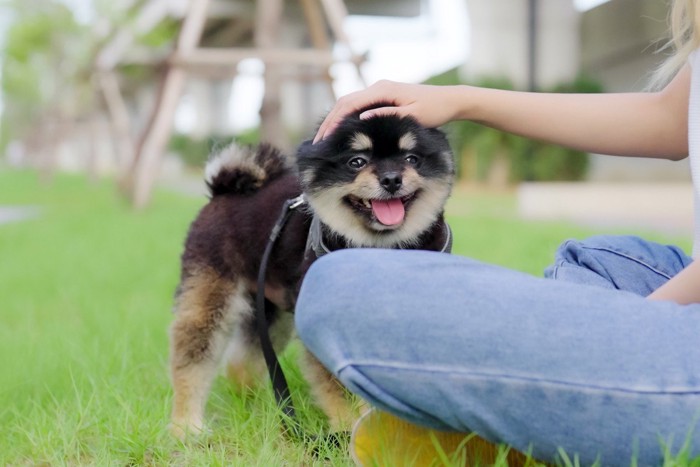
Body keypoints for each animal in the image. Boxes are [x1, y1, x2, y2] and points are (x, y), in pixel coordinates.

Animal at [168, 105, 454, 438]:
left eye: (411, 159)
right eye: (357, 162)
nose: (392, 179)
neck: (382, 249)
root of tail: (223, 190)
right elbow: (340, 389)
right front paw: (348, 430)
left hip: (270, 311)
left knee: (243, 363)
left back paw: (254, 408)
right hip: (212, 296)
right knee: (192, 356)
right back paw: (187, 425)